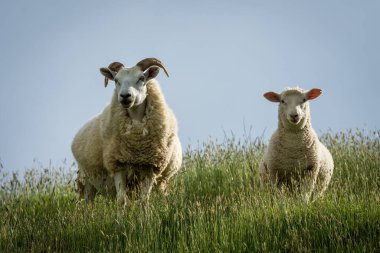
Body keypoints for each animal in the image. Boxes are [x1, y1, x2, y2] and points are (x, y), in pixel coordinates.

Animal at [73, 57, 184, 206]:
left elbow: (144, 201)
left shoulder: (150, 167)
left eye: (142, 78)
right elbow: (121, 200)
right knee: (88, 202)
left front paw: (145, 213)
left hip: (161, 182)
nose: (125, 96)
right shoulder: (118, 165)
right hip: (87, 179)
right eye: (116, 80)